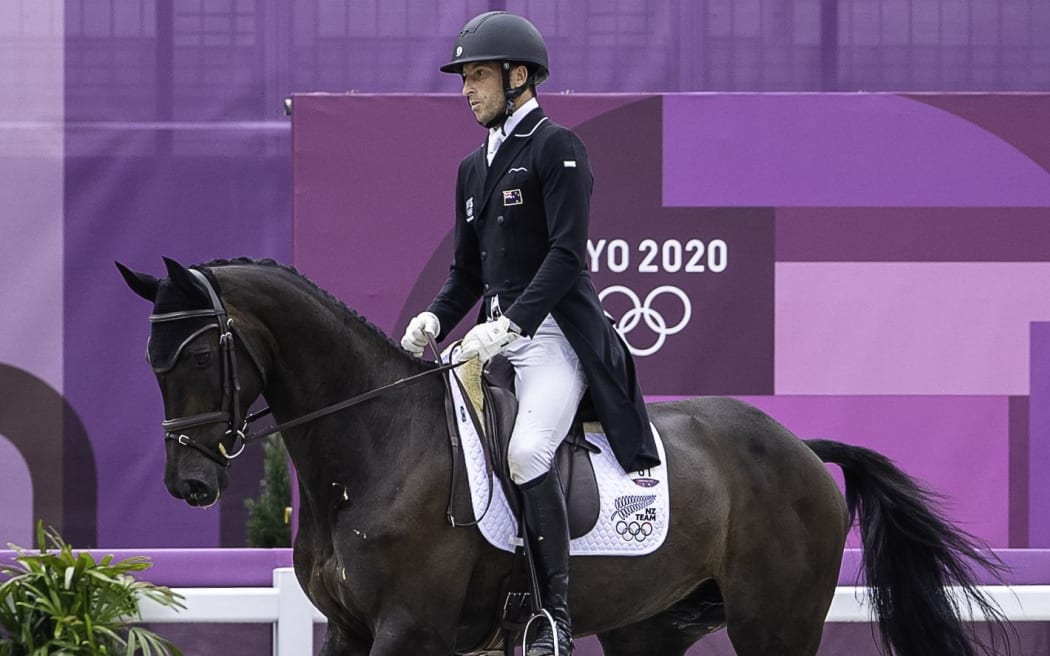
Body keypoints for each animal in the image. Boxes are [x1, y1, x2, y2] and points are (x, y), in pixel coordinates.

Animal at [119, 257, 1012, 654]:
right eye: (152, 364)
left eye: (197, 356)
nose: (189, 481)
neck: (372, 448)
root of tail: (797, 446)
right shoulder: (345, 629)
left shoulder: (407, 630)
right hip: (652, 630)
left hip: (776, 624)